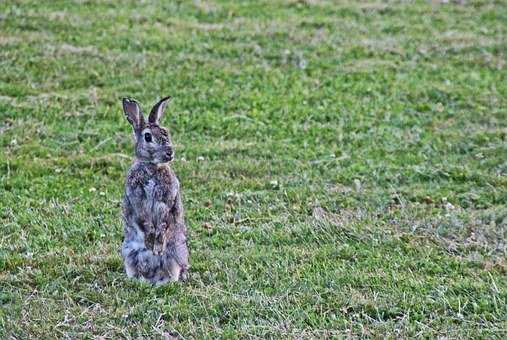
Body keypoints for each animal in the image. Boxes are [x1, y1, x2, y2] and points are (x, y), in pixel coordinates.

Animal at [120, 96, 189, 284]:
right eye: (148, 137)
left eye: (167, 133)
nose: (170, 153)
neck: (152, 166)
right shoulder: (137, 201)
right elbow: (145, 221)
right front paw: (150, 241)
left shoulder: (166, 201)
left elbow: (163, 224)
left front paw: (157, 246)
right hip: (128, 253)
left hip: (175, 253)